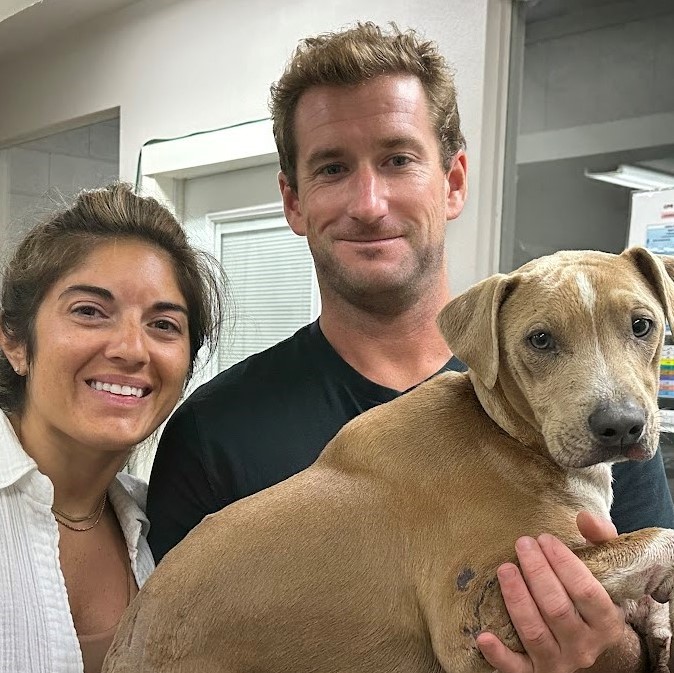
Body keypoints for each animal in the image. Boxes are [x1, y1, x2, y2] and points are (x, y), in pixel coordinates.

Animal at [102, 247, 672, 672]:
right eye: (540, 339)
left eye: (642, 325)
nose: (621, 425)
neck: (505, 436)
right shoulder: (480, 612)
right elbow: (656, 537)